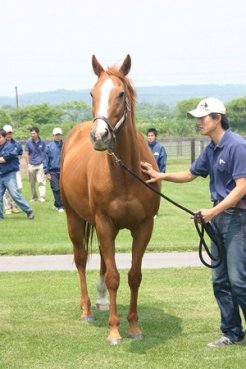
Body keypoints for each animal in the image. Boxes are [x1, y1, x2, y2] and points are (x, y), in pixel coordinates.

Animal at [60, 55, 160, 344]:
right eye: (92, 93)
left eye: (121, 94)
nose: (99, 136)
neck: (126, 174)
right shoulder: (104, 222)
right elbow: (115, 276)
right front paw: (115, 331)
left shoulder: (144, 226)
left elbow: (134, 276)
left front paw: (135, 327)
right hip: (74, 218)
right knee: (81, 259)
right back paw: (87, 310)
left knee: (104, 260)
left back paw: (103, 300)